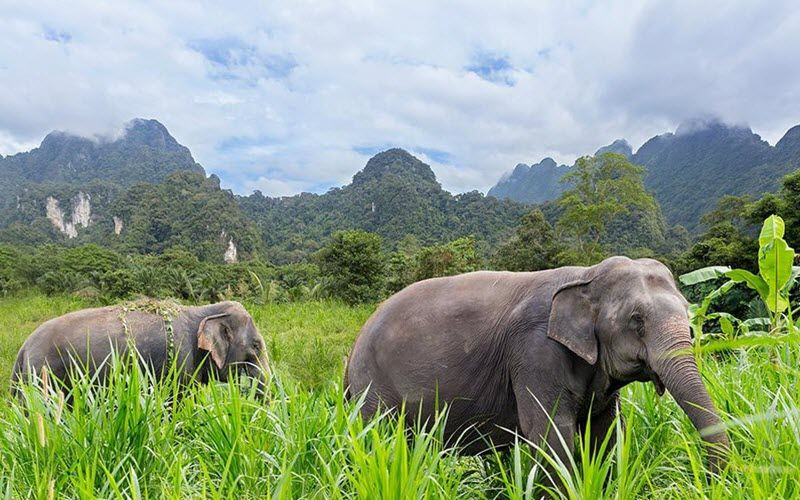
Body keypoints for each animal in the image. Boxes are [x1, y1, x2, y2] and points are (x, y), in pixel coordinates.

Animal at [346, 258, 732, 480]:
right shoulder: (534, 350)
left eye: (688, 310)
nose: (710, 479)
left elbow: (606, 433)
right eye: (636, 320)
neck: (586, 275)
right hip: (372, 387)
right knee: (377, 438)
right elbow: (552, 435)